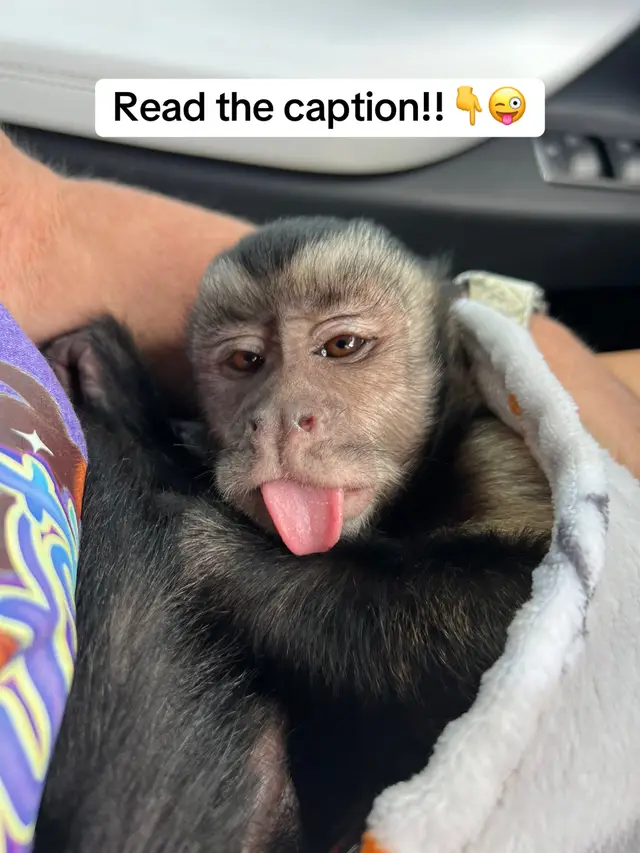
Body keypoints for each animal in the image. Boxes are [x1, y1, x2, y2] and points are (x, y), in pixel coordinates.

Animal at [36, 216, 553, 853]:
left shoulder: (498, 453)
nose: (280, 418)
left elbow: (522, 606)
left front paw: (213, 550)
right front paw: (114, 388)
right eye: (245, 361)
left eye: (342, 347)